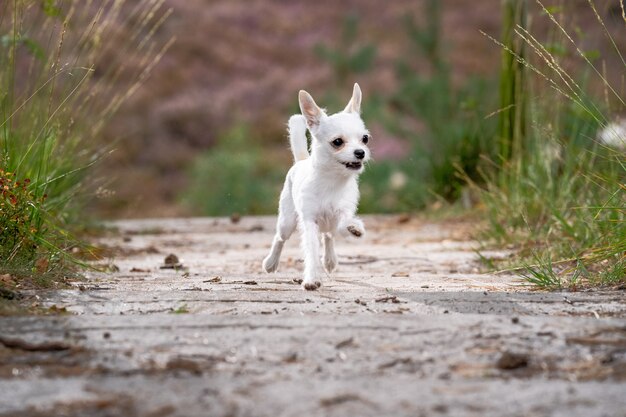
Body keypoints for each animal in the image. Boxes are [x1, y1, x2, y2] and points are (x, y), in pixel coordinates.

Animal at [260, 83, 368, 290]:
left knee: (329, 236)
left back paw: (330, 260)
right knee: (280, 238)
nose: (360, 152)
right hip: (287, 221)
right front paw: (311, 279)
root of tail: (301, 160)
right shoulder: (309, 222)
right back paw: (271, 262)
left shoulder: (342, 213)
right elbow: (311, 252)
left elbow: (344, 224)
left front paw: (354, 227)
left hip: (326, 224)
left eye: (365, 139)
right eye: (337, 142)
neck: (332, 180)